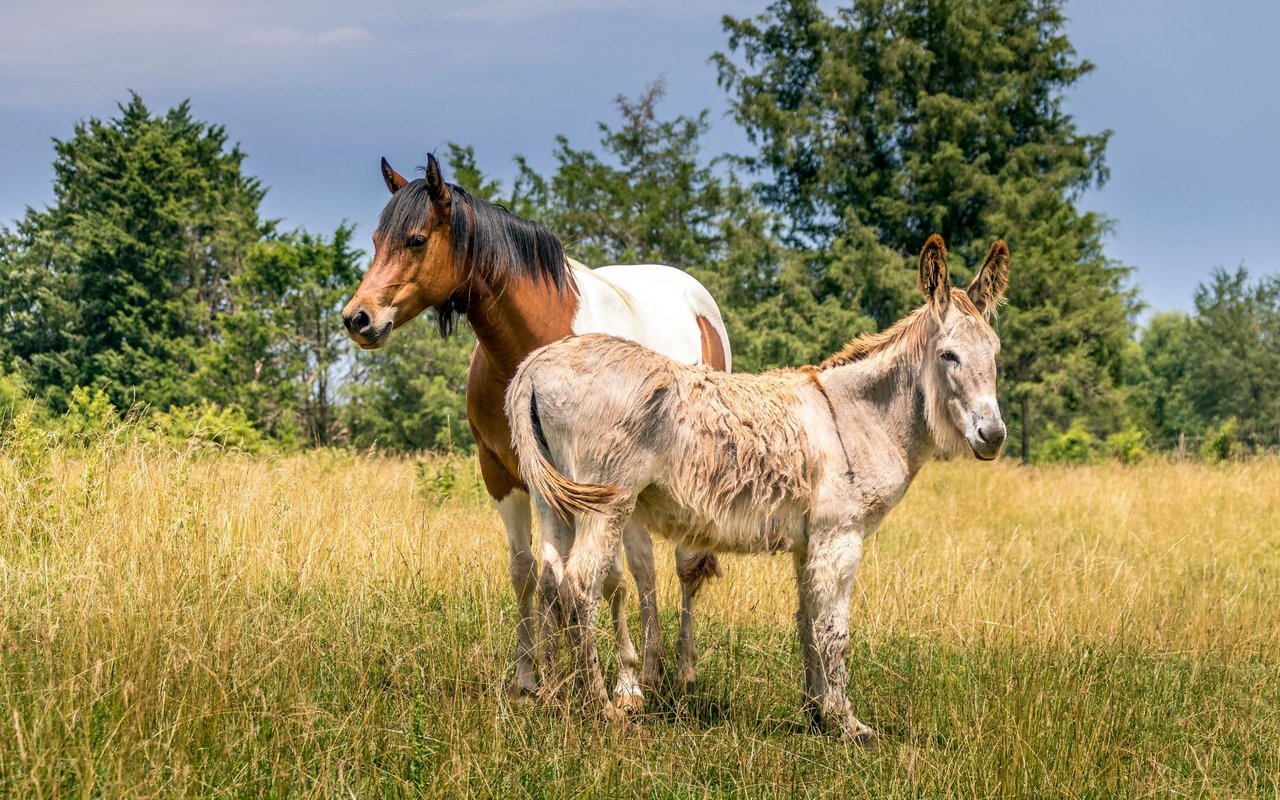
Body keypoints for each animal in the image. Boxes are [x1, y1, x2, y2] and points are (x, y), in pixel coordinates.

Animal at [340, 152, 732, 706]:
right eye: (376, 240)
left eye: (415, 239)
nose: (358, 318)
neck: (533, 344)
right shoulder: (506, 475)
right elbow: (533, 574)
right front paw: (535, 677)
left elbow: (601, 578)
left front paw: (616, 679)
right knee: (643, 566)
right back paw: (651, 670)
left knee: (682, 565)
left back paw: (679, 671)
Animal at [504, 234, 1003, 737]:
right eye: (949, 356)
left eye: (995, 353)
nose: (994, 435)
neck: (859, 414)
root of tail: (535, 366)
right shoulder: (840, 536)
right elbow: (835, 632)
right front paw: (848, 724)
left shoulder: (809, 542)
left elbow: (807, 624)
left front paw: (816, 712)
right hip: (605, 504)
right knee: (580, 584)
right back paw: (601, 707)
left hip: (553, 499)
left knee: (551, 578)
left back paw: (555, 698)